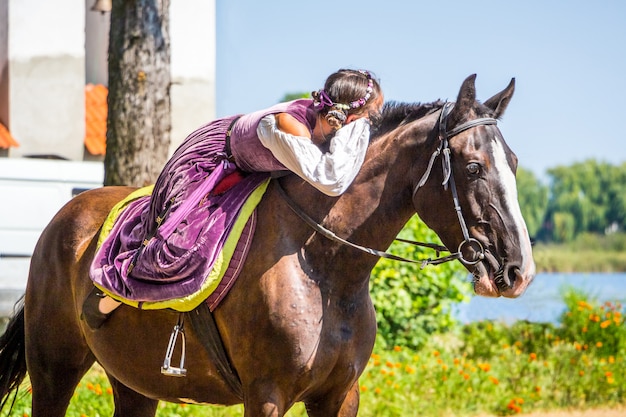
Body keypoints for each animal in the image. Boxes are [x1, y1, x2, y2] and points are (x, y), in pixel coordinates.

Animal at [0, 75, 532, 416]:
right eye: (473, 168)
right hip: (54, 371)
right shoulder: (267, 395)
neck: (324, 269)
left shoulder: (340, 396)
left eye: (514, 162)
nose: (517, 271)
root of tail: (64, 219)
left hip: (135, 384)